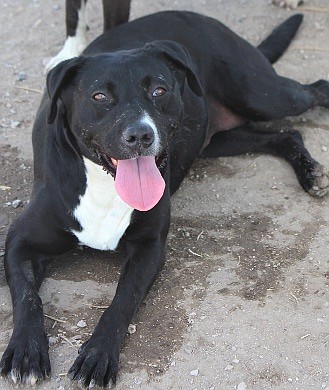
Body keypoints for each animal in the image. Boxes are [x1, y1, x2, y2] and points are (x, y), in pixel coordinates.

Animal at [0, 9, 328, 386]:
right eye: (99, 97)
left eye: (159, 90)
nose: (141, 134)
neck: (103, 185)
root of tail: (201, 16)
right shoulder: (20, 241)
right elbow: (28, 298)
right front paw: (26, 350)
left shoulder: (149, 248)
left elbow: (121, 301)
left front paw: (98, 354)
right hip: (218, 139)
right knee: (284, 134)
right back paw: (308, 170)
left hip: (264, 95)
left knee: (315, 91)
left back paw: (311, 168)